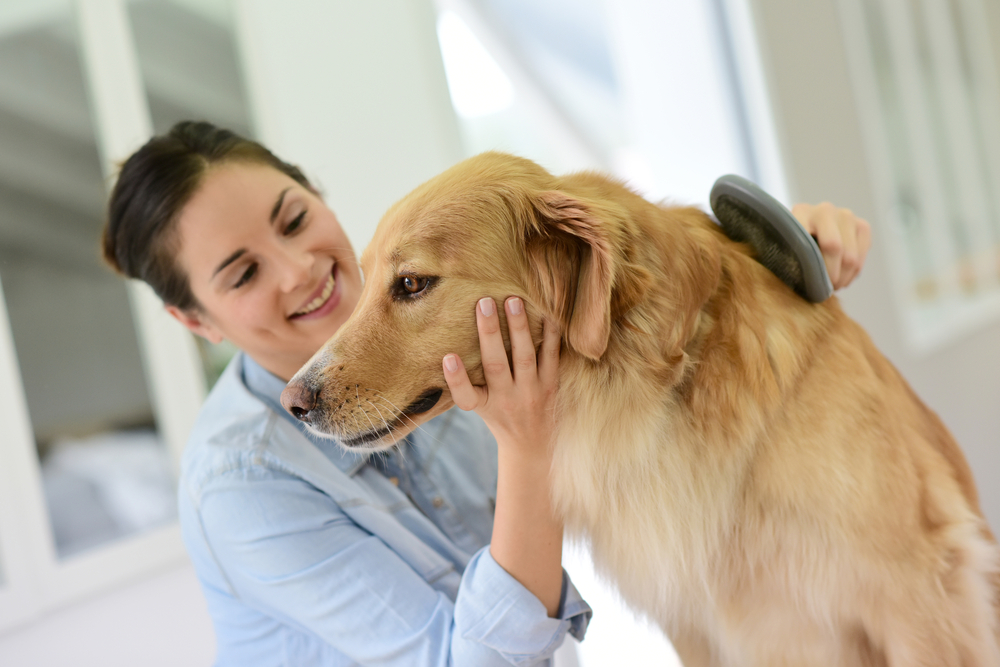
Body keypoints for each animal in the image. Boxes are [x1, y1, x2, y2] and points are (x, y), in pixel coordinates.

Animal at [282, 154, 1000, 664]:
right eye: (364, 282)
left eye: (411, 284)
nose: (295, 400)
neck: (659, 393)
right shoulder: (696, 625)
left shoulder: (918, 593)